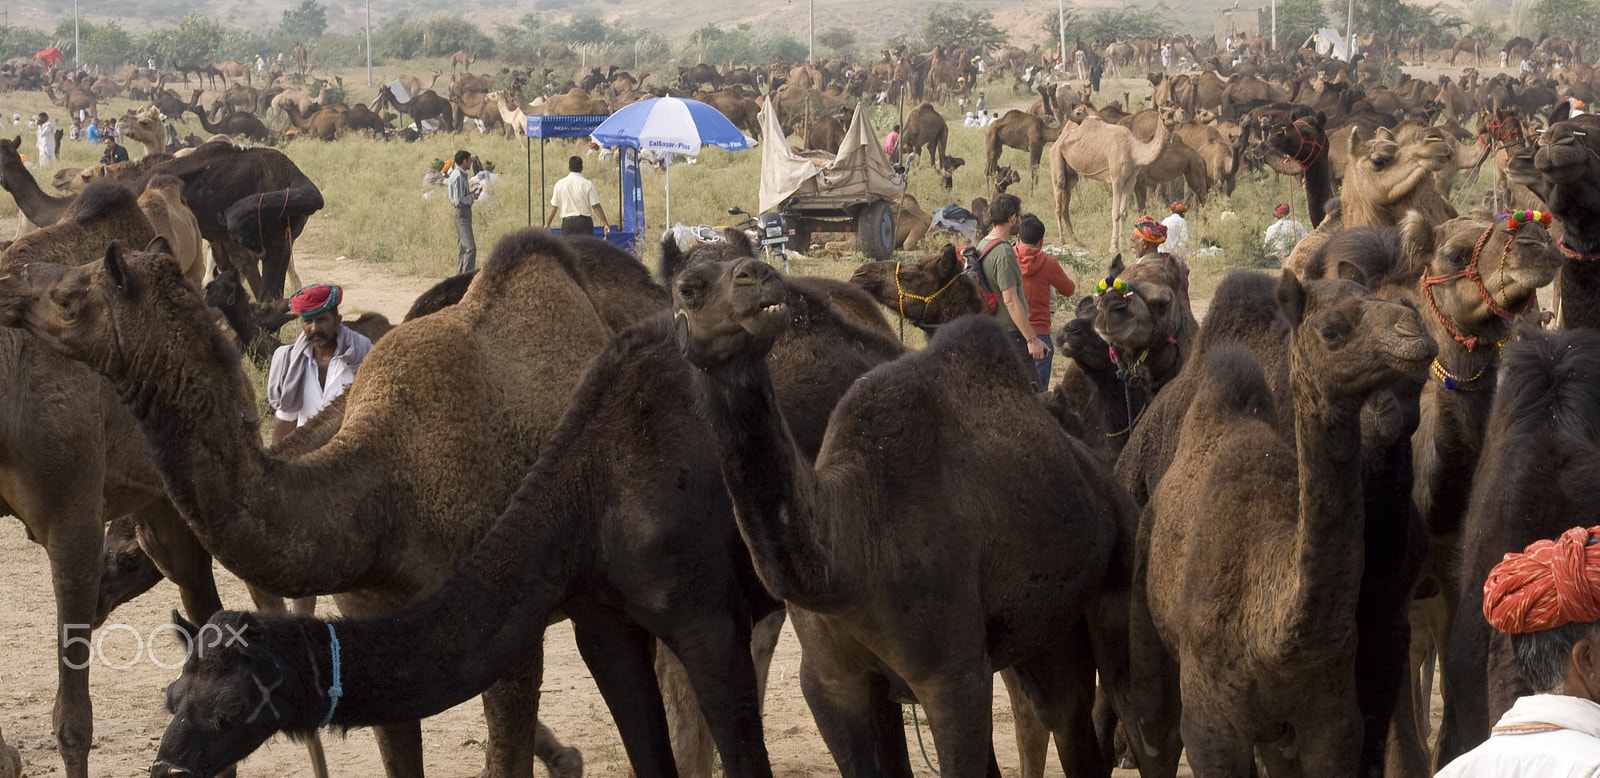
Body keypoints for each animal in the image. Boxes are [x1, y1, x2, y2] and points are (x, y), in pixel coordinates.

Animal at [672, 254, 1152, 771]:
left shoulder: (952, 677)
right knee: (1065, 715)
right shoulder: (828, 682)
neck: (846, 559)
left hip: (1120, 572)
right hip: (1049, 631)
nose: (756, 275)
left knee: (1126, 707)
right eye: (687, 288)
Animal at [1049, 116, 1177, 249]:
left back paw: (1076, 241)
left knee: (1065, 205)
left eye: (1173, 112)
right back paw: (1062, 240)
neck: (1133, 150)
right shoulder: (1116, 179)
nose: (1173, 122)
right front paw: (1113, 246)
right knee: (1058, 202)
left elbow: (1124, 212)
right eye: (1164, 115)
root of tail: (1056, 142)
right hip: (1056, 158)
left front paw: (1124, 244)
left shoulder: (1131, 180)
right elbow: (1116, 213)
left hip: (1071, 176)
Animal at [1126, 272, 1440, 778]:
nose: (1413, 329)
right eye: (1332, 330)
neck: (1273, 636)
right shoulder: (1212, 730)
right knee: (1154, 729)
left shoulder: (1331, 724)